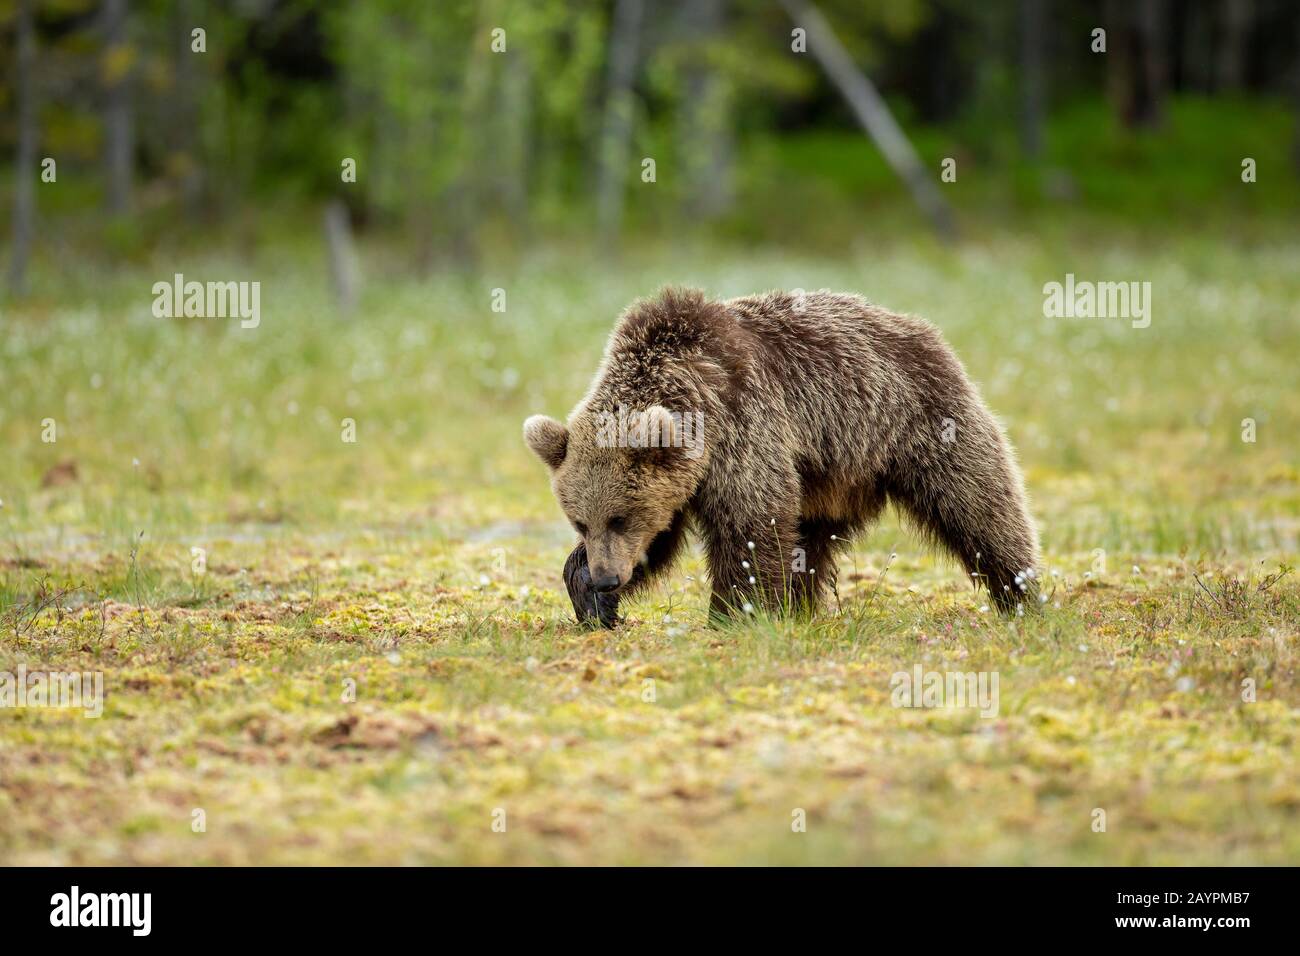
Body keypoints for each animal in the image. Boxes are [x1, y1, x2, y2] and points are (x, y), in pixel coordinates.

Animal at [524, 287, 1039, 622]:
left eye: (620, 517)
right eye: (580, 522)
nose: (607, 579)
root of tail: (916, 326)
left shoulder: (744, 424)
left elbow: (752, 523)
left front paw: (734, 615)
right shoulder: (681, 482)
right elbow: (662, 540)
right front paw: (589, 596)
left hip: (918, 420)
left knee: (979, 503)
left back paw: (1021, 593)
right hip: (827, 476)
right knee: (809, 540)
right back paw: (800, 607)